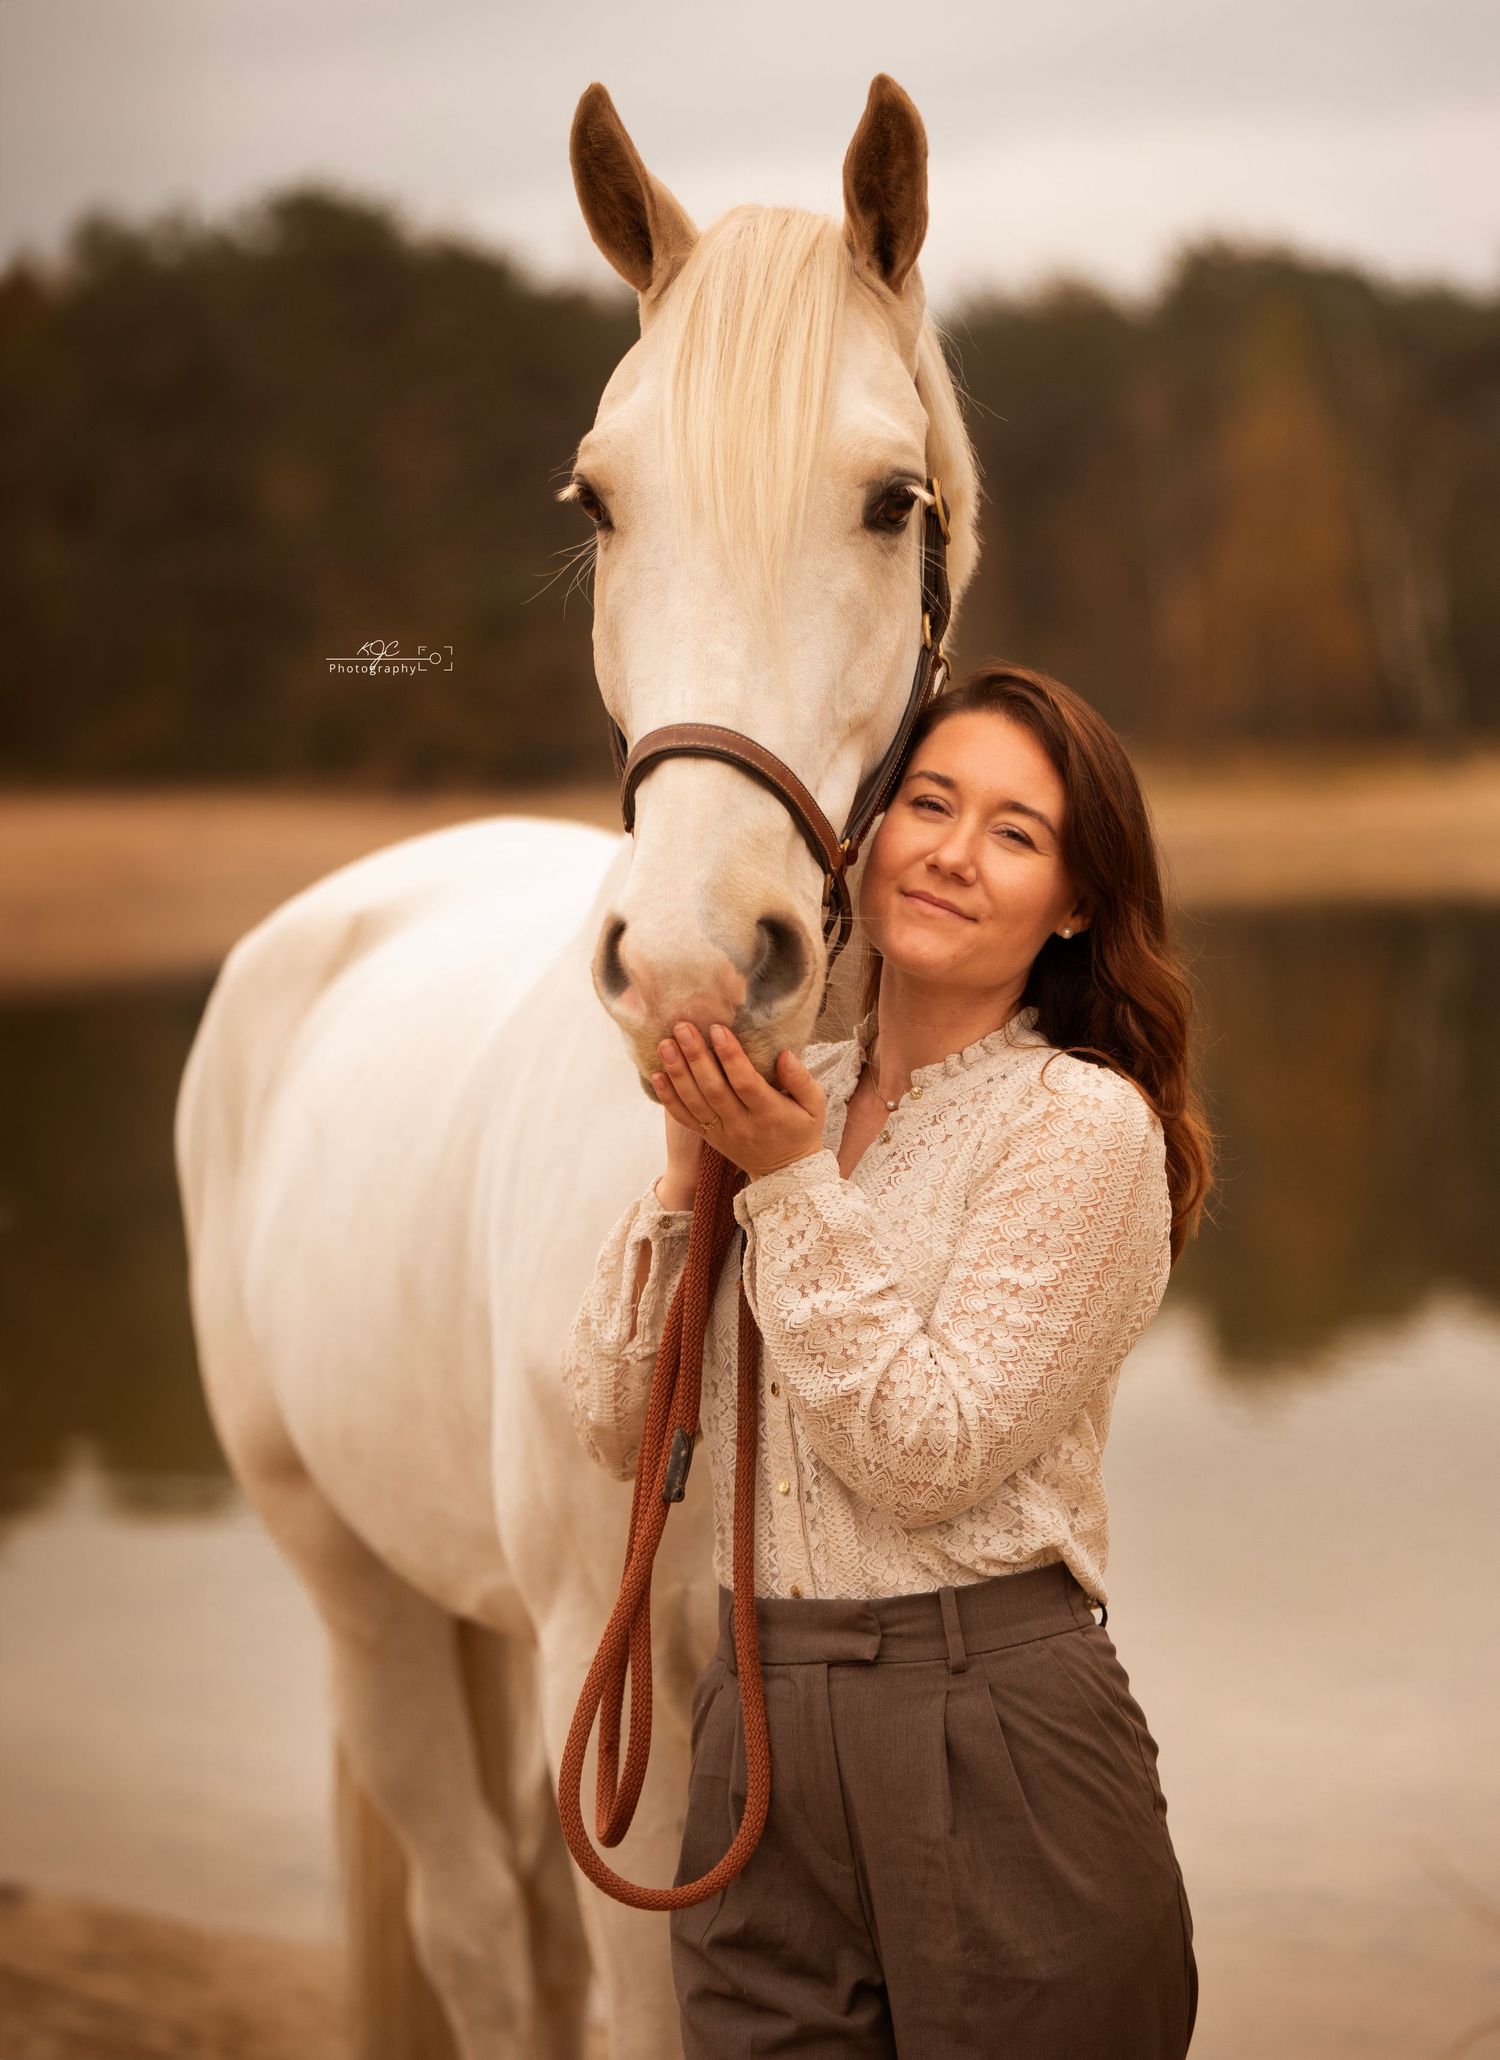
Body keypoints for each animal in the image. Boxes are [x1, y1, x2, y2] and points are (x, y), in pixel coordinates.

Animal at [174, 72, 981, 2060]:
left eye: (892, 503)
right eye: (599, 502)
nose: (695, 959)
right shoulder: (607, 1696)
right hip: (365, 1600)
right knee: (477, 1934)